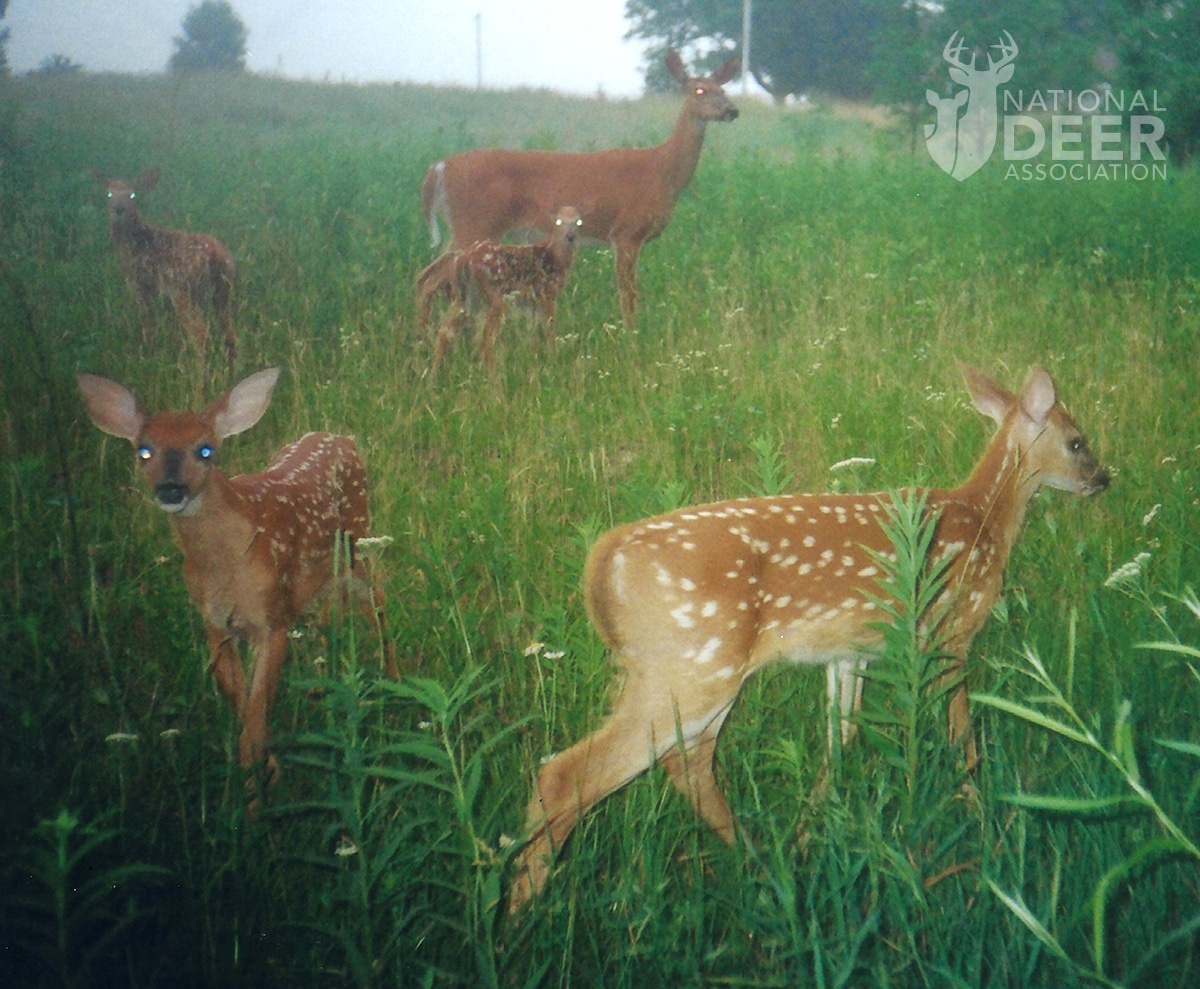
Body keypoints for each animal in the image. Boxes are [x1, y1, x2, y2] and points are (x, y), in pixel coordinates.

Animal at [78, 367, 398, 792]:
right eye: (144, 451)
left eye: (205, 450)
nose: (171, 489)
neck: (225, 564)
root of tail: (339, 436)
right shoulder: (216, 625)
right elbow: (245, 708)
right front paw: (264, 774)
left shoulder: (272, 620)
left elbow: (257, 712)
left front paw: (260, 788)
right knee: (331, 612)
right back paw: (323, 685)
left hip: (359, 541)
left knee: (378, 605)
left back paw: (397, 688)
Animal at [98, 168, 236, 369]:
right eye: (109, 193)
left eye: (132, 194)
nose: (118, 209)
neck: (134, 243)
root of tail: (216, 256)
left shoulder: (141, 285)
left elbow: (148, 322)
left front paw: (148, 353)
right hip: (224, 291)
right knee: (229, 332)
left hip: (184, 292)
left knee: (200, 331)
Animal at [417, 206, 585, 372]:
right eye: (558, 221)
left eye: (578, 221)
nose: (570, 236)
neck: (555, 257)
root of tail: (464, 259)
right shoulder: (548, 294)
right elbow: (550, 330)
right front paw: (553, 359)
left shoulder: (533, 302)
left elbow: (533, 334)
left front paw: (534, 358)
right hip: (496, 297)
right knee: (485, 337)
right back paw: (493, 375)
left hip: (466, 298)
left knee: (445, 331)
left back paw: (434, 373)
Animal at [422, 51, 739, 324]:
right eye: (699, 90)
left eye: (723, 90)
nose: (732, 110)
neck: (663, 171)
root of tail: (439, 168)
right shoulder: (626, 232)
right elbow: (628, 295)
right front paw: (632, 335)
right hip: (474, 223)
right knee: (430, 278)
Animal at [506, 362, 1104, 912]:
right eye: (1077, 441)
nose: (1105, 480)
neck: (983, 518)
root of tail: (601, 564)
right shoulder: (950, 633)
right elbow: (963, 741)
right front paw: (981, 826)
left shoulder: (848, 654)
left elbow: (842, 738)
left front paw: (814, 826)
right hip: (692, 667)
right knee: (566, 774)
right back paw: (520, 917)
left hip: (681, 674)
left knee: (687, 763)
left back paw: (763, 864)